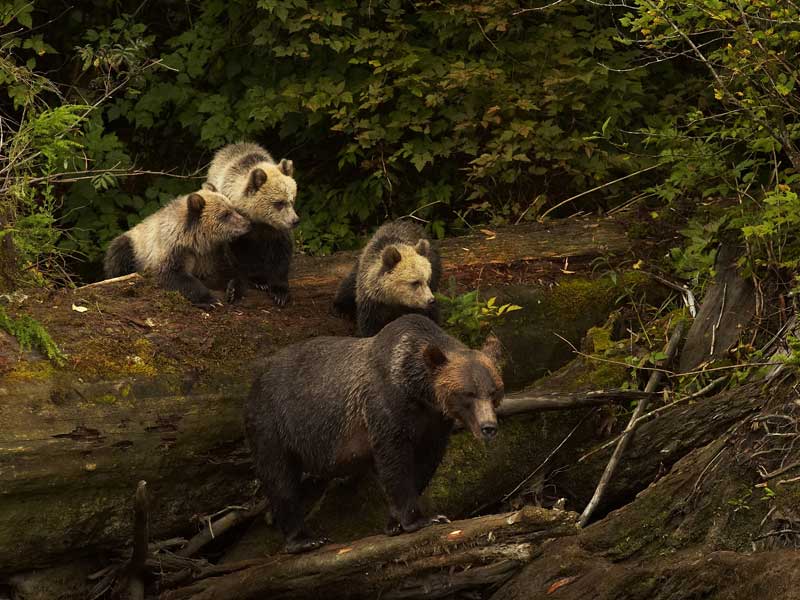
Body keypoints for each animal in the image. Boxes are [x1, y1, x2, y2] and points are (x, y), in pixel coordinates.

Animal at [244, 314, 506, 552]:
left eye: (494, 391)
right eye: (468, 394)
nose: (488, 427)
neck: (418, 391)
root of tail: (256, 377)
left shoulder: (434, 423)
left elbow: (424, 463)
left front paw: (394, 523)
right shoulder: (385, 409)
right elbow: (395, 461)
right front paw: (421, 519)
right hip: (274, 423)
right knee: (280, 478)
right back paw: (304, 539)